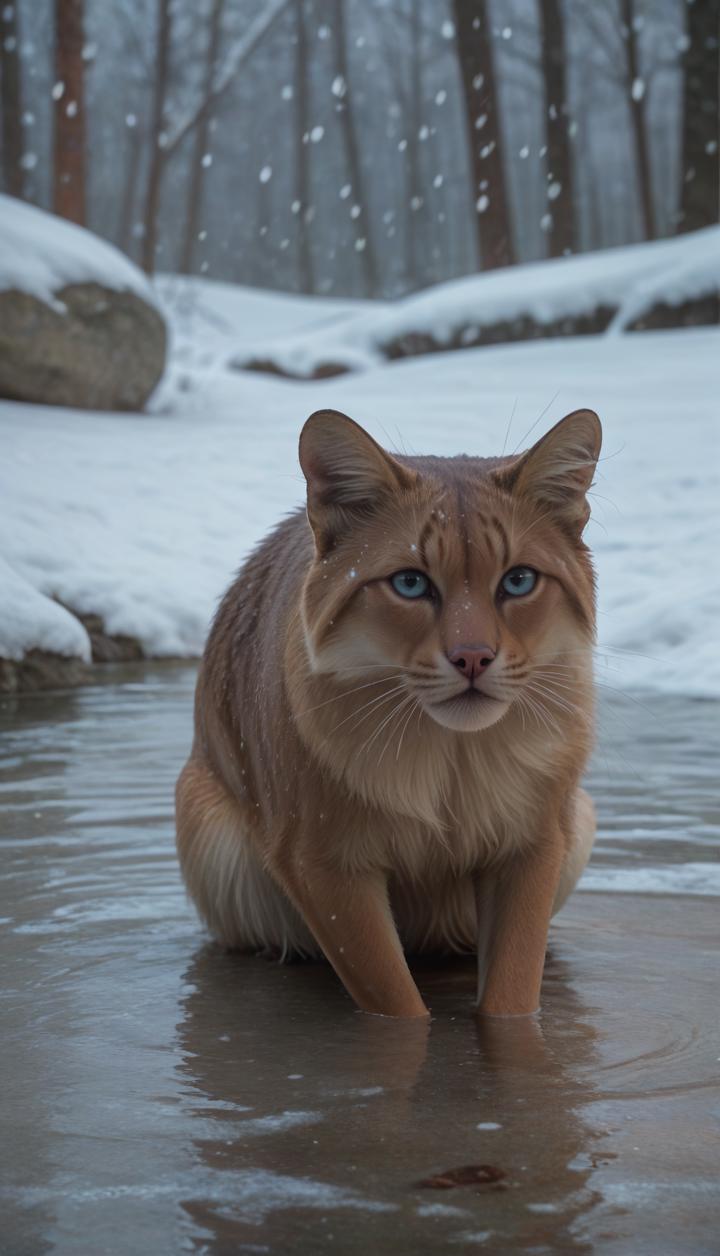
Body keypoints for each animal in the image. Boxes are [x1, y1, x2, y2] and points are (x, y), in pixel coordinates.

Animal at [175, 409, 600, 1019]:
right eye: (410, 582)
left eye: (518, 579)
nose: (473, 658)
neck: (453, 759)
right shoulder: (324, 864)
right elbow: (397, 1006)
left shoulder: (532, 844)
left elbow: (511, 994)